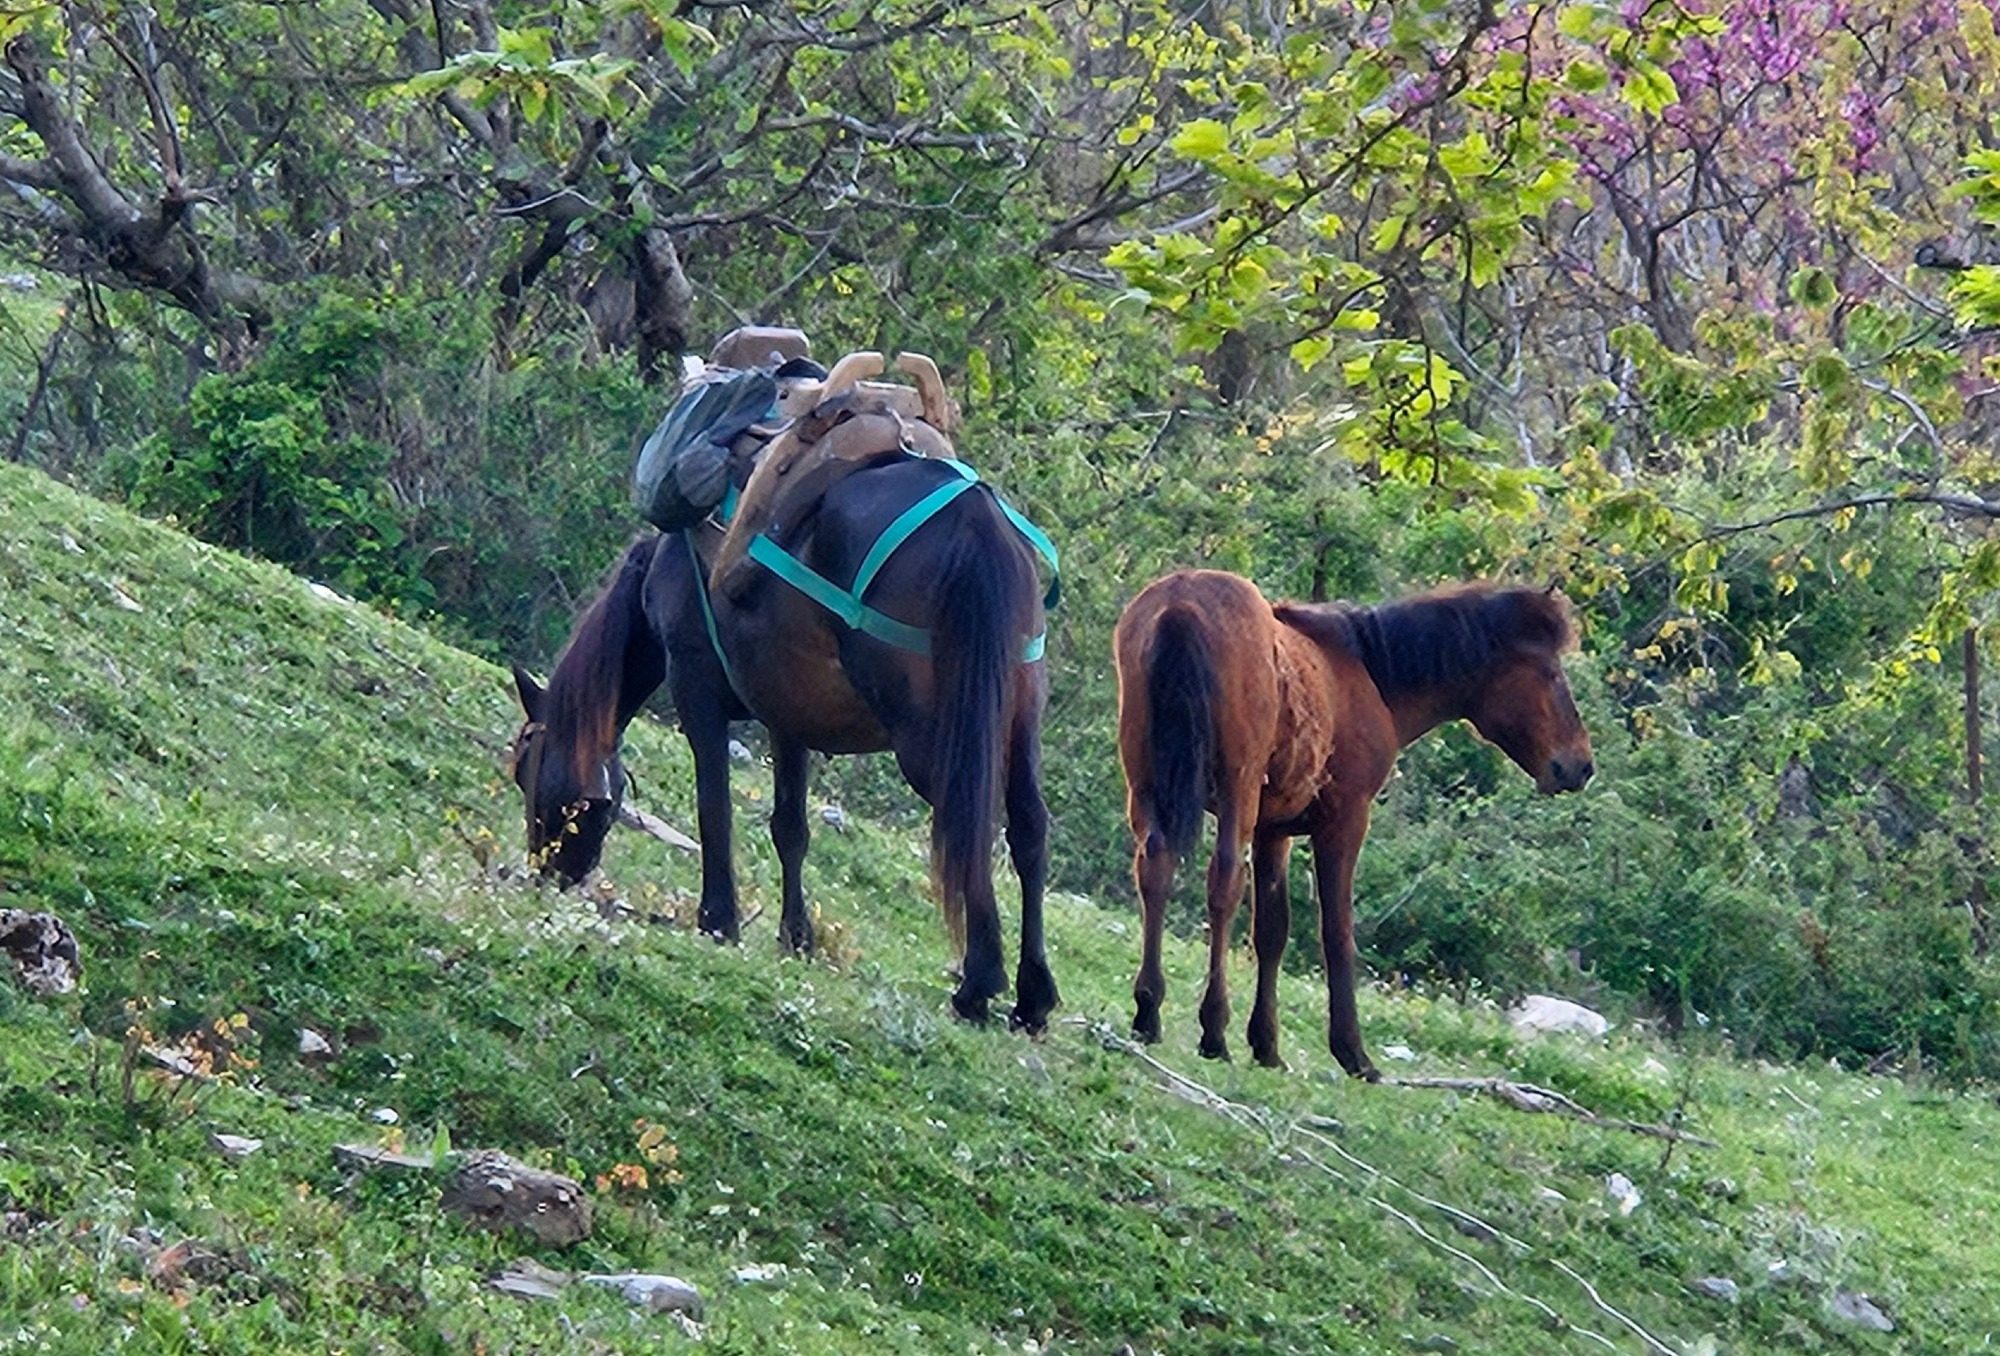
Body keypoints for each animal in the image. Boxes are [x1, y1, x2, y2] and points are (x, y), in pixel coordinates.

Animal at [508, 454, 1058, 1029]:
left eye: (525, 770)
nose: (547, 872)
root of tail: (975, 517)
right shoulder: (789, 718)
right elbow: (790, 829)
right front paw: (796, 938)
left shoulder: (694, 684)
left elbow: (714, 808)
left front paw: (718, 921)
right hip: (1017, 722)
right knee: (1028, 829)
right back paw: (1032, 996)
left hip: (932, 733)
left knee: (969, 825)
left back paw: (978, 982)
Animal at [1113, 570, 1593, 1079]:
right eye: (1551, 673)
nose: (1580, 765)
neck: (1367, 672)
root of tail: (1181, 602)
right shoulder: (1344, 821)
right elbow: (1337, 932)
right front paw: (1352, 1052)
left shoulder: (1272, 830)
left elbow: (1272, 931)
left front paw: (1266, 1045)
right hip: (1233, 791)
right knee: (1223, 883)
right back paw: (1213, 1029)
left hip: (1147, 784)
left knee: (1155, 869)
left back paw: (1148, 1010)